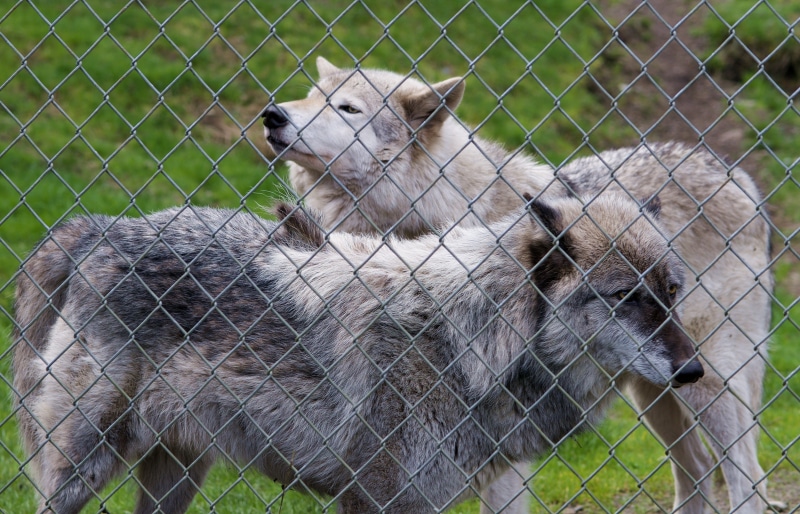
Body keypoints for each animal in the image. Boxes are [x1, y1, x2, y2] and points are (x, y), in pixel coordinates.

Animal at [13, 195, 703, 514]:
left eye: (671, 293)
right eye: (627, 297)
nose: (692, 370)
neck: (470, 341)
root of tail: (98, 228)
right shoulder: (374, 498)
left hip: (178, 473)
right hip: (82, 471)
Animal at [262, 57, 773, 514]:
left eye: (347, 108)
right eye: (310, 97)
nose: (272, 114)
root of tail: (733, 172)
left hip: (705, 381)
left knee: (747, 478)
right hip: (654, 391)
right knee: (699, 470)